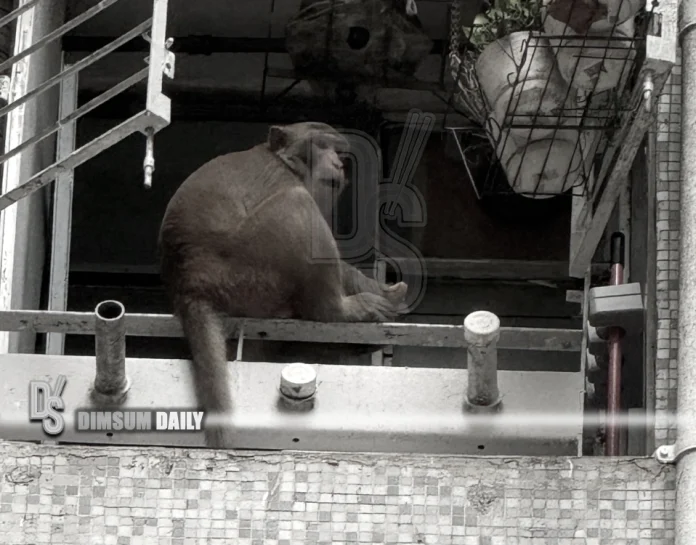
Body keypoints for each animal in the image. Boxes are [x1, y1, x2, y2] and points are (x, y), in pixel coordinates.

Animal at [158, 121, 408, 448]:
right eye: (321, 145)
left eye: (339, 151)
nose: (338, 164)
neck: (284, 161)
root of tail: (189, 284)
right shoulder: (281, 177)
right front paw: (382, 293)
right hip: (248, 271)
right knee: (297, 203)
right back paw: (338, 310)